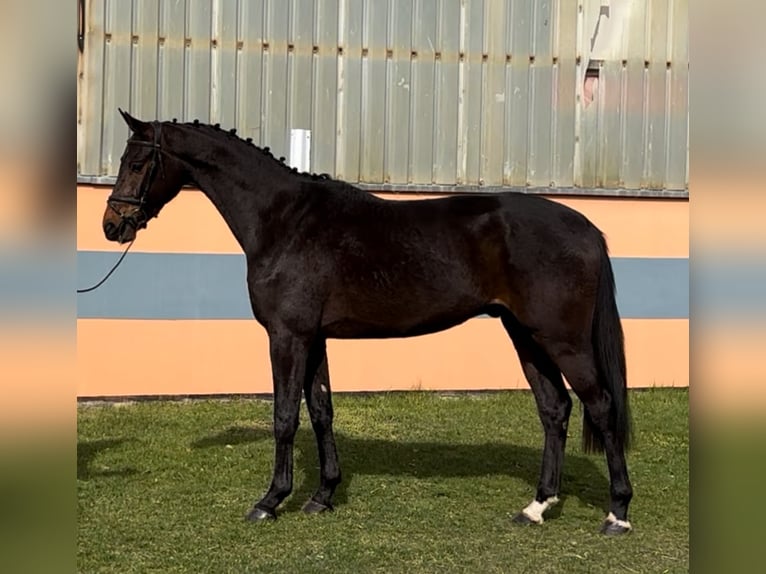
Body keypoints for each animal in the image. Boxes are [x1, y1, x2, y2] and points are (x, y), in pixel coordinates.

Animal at [101, 109, 634, 535]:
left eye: (137, 163)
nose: (112, 225)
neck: (284, 220)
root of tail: (586, 226)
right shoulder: (314, 338)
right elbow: (321, 411)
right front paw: (322, 496)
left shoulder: (287, 337)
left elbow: (284, 416)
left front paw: (271, 501)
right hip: (526, 336)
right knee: (554, 409)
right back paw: (537, 507)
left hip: (562, 340)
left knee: (602, 406)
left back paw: (617, 513)